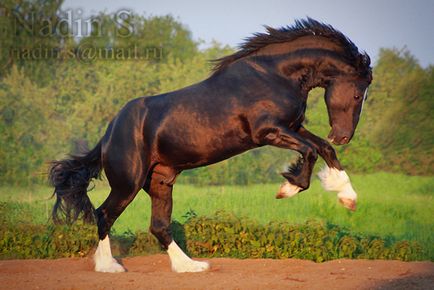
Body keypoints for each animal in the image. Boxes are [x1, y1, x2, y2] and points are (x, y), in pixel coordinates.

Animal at [49, 18, 372, 272]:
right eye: (358, 94)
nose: (343, 136)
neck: (274, 74)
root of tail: (108, 135)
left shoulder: (292, 126)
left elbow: (324, 149)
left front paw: (348, 198)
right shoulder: (267, 131)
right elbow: (310, 151)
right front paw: (288, 188)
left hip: (161, 180)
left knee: (159, 225)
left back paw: (191, 266)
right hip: (128, 183)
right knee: (104, 214)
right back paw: (109, 267)